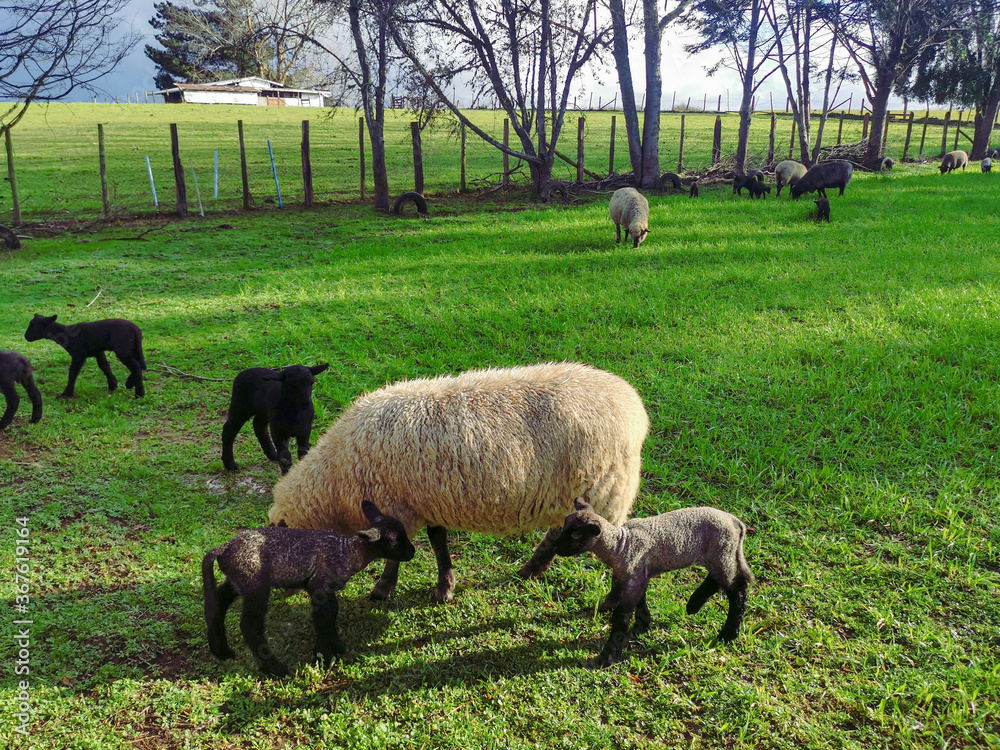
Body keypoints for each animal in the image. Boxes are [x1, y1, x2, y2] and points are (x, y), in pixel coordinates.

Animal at [203, 501, 415, 677]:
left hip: (237, 581)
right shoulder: (318, 587)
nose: (412, 552)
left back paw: (221, 651)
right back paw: (275, 668)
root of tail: (223, 549)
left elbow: (332, 614)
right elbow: (322, 620)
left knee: (216, 606)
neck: (348, 551)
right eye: (394, 540)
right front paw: (325, 656)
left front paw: (336, 646)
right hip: (255, 583)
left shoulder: (327, 589)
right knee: (249, 626)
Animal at [268, 362, 649, 604]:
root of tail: (633, 406)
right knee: (558, 533)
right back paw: (531, 569)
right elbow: (438, 543)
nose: (280, 591)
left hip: (603, 492)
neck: (336, 476)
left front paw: (382, 589)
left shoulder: (397, 509)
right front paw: (444, 586)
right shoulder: (424, 501)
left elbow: (396, 555)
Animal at [554, 499, 754, 666]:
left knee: (738, 589)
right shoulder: (637, 576)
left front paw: (607, 658)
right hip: (718, 557)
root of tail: (735, 521)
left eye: (576, 534)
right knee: (716, 580)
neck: (620, 546)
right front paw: (642, 626)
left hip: (722, 553)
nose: (556, 548)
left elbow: (621, 619)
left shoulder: (633, 581)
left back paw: (728, 635)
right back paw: (694, 605)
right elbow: (640, 603)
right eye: (565, 527)